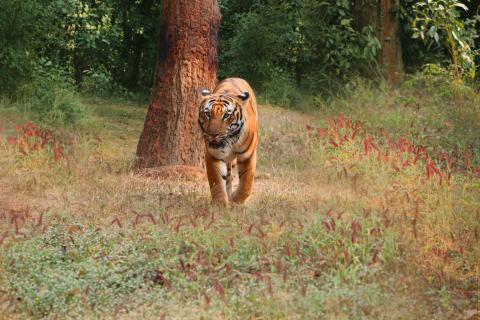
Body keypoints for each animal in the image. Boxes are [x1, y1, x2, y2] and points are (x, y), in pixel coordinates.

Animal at [198, 77, 258, 205]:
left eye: (226, 115)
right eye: (207, 114)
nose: (213, 134)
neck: (230, 141)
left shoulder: (248, 155)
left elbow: (246, 183)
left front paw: (237, 201)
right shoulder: (213, 155)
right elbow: (216, 181)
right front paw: (220, 203)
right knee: (228, 176)